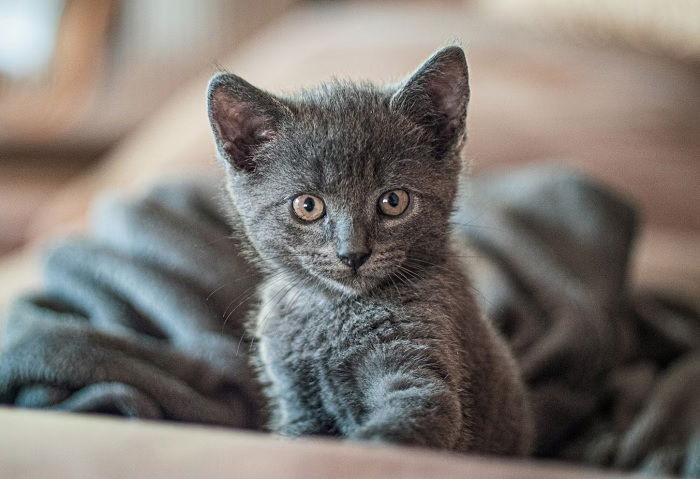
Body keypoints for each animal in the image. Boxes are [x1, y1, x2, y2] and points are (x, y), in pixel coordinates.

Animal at [205, 47, 532, 456]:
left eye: (394, 201)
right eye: (307, 206)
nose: (353, 253)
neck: (336, 312)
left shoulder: (421, 368)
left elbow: (409, 419)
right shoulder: (296, 403)